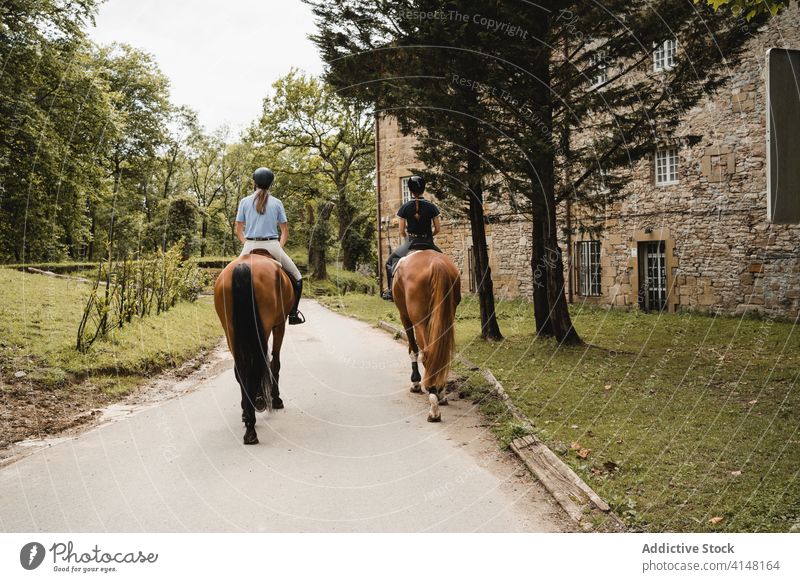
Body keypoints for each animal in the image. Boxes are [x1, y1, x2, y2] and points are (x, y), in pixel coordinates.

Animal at [214, 253, 296, 444]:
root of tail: (243, 266)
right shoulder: (279, 325)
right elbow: (275, 362)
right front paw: (275, 399)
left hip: (231, 332)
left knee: (242, 369)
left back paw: (247, 415)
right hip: (263, 327)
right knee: (257, 365)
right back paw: (253, 422)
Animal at [390, 251, 460, 424]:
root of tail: (437, 264)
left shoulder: (405, 317)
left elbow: (413, 349)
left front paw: (415, 382)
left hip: (419, 319)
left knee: (428, 354)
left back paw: (434, 406)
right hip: (446, 317)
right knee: (440, 354)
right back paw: (439, 394)